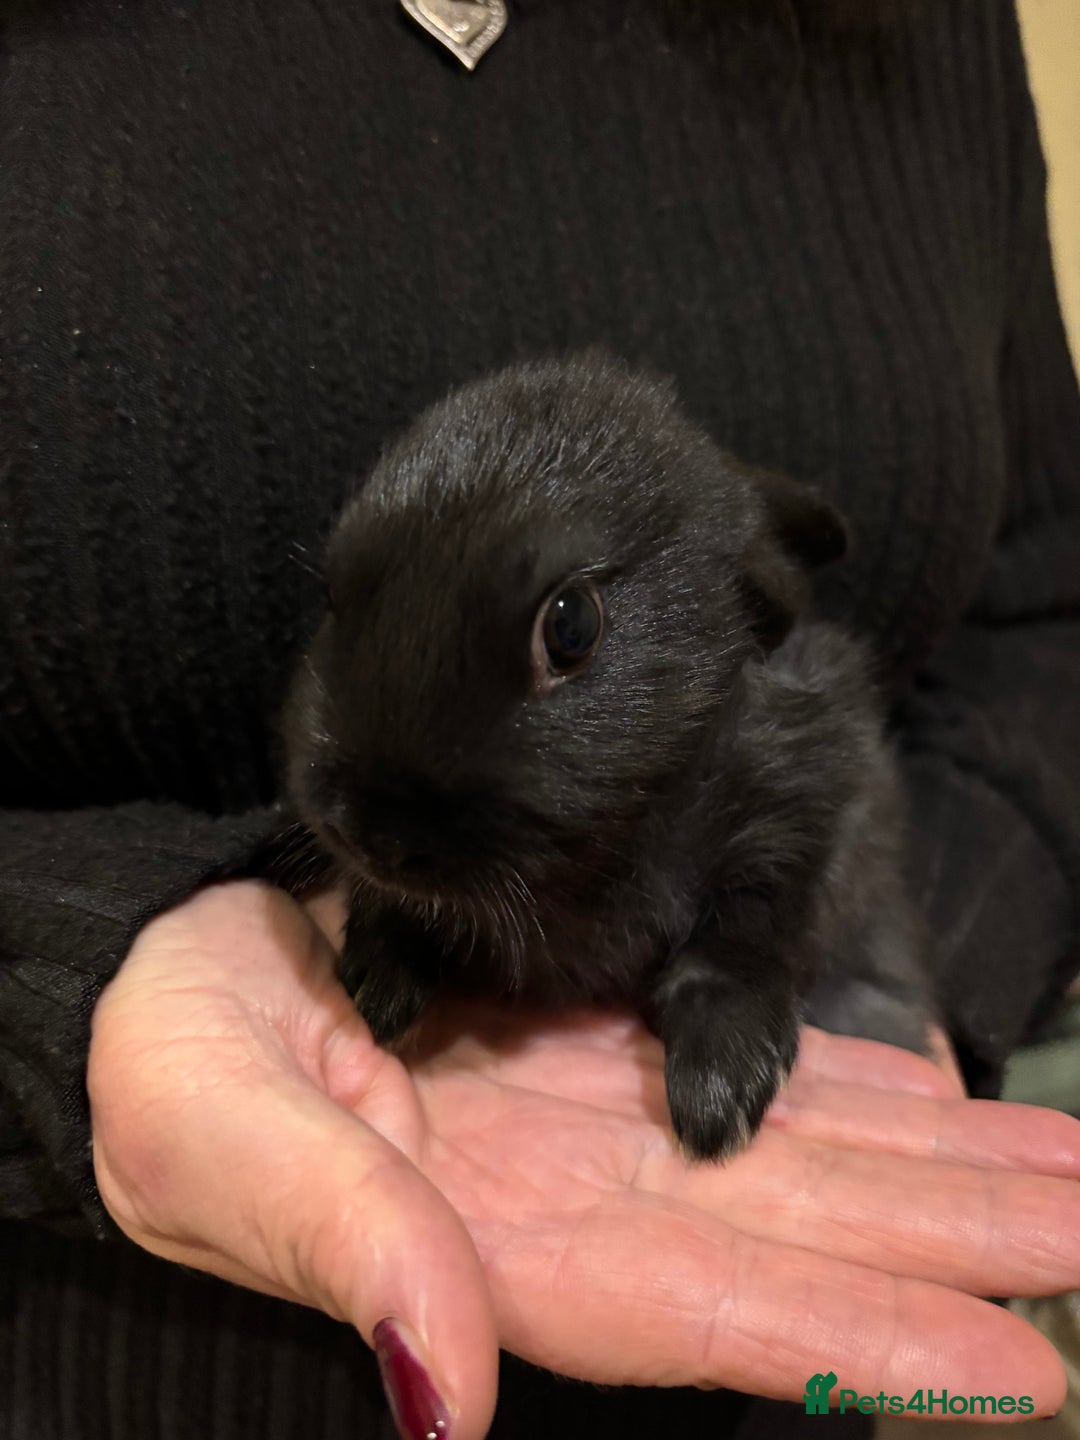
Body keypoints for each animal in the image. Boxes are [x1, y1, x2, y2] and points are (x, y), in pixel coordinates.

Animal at [282, 353, 934, 1161]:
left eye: (571, 626)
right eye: (332, 597)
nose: (377, 836)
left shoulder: (806, 801)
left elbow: (745, 932)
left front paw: (721, 1088)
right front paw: (377, 985)